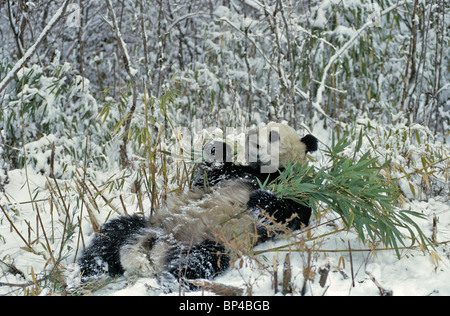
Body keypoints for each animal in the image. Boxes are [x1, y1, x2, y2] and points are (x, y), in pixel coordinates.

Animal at [78, 123, 316, 288]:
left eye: (273, 135)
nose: (251, 135)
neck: (265, 171)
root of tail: (150, 251)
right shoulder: (235, 173)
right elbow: (206, 179)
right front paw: (218, 148)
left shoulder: (297, 186)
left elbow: (289, 215)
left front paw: (259, 197)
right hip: (147, 225)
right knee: (112, 234)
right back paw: (92, 271)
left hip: (215, 239)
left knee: (201, 260)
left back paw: (171, 280)